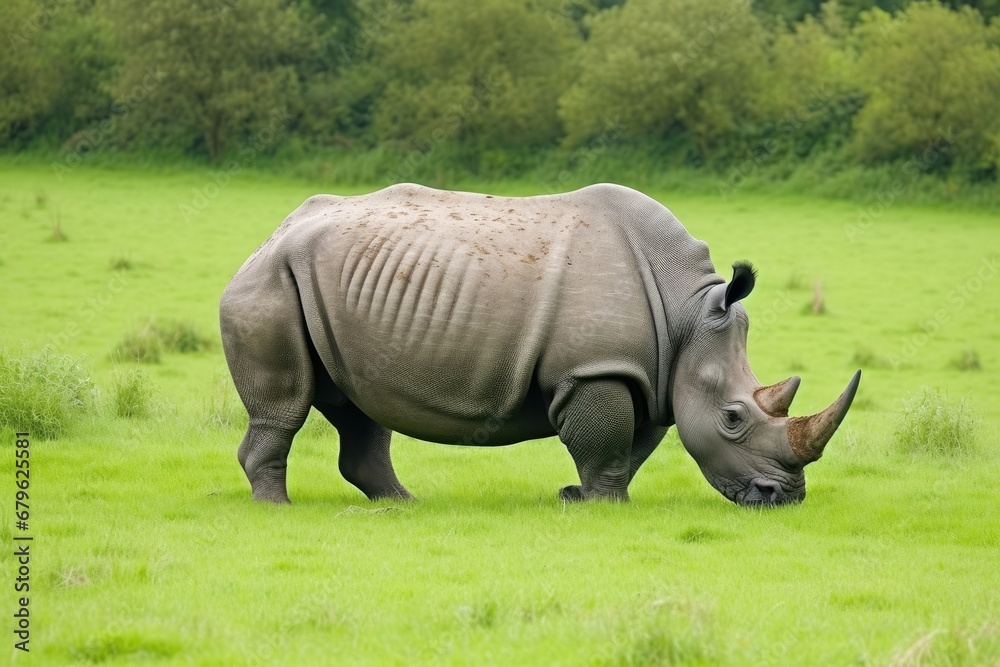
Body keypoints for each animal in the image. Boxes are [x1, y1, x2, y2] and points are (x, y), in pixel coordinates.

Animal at [220, 183, 860, 507]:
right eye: (732, 417)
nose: (782, 497)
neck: (688, 312)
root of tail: (270, 235)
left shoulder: (649, 371)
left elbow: (635, 443)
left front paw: (579, 496)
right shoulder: (598, 367)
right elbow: (607, 440)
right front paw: (605, 506)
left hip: (317, 287)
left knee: (359, 404)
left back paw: (402, 504)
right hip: (271, 282)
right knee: (287, 406)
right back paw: (277, 508)